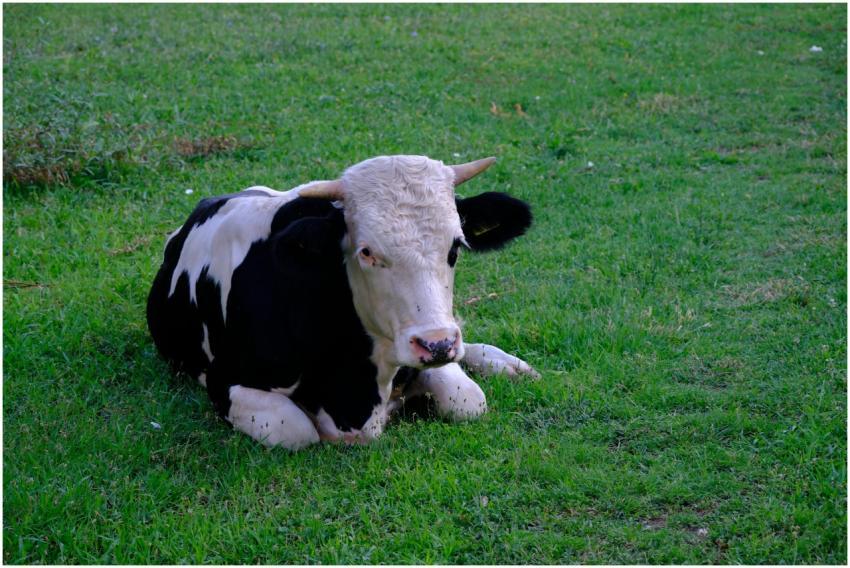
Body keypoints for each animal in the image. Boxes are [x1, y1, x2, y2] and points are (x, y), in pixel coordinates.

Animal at [147, 155, 538, 450]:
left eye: (455, 246)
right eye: (366, 251)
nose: (437, 343)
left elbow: (468, 399)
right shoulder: (223, 378)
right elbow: (295, 429)